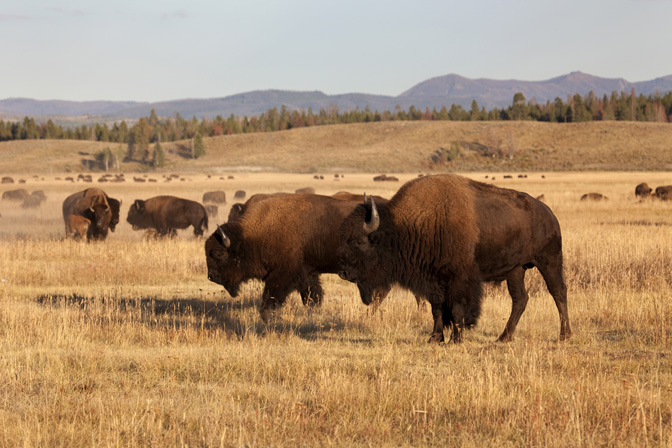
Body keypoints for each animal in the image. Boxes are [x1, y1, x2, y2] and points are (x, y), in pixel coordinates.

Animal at [205, 194, 362, 320]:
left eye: (219, 254)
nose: (211, 277)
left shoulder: (283, 274)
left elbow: (271, 296)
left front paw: (266, 316)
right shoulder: (306, 273)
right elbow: (312, 295)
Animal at [338, 174, 568, 344]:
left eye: (359, 241)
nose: (343, 272)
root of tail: (549, 214)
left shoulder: (459, 280)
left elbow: (457, 309)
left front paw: (456, 339)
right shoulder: (434, 281)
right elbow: (437, 309)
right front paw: (434, 338)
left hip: (549, 261)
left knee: (558, 292)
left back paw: (564, 335)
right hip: (516, 270)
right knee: (520, 299)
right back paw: (504, 337)